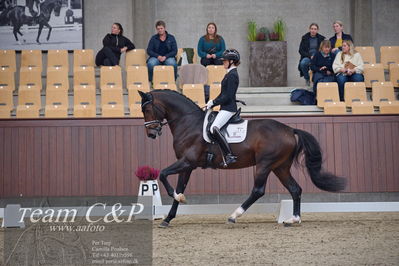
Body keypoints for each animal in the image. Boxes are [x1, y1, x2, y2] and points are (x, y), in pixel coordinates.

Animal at [140, 90, 346, 227]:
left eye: (147, 109)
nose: (151, 134)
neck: (188, 122)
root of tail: (290, 129)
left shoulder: (187, 161)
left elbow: (163, 175)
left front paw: (177, 199)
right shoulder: (188, 165)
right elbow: (179, 186)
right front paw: (168, 217)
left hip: (265, 164)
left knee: (258, 190)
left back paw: (234, 216)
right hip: (280, 167)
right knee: (295, 189)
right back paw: (293, 219)